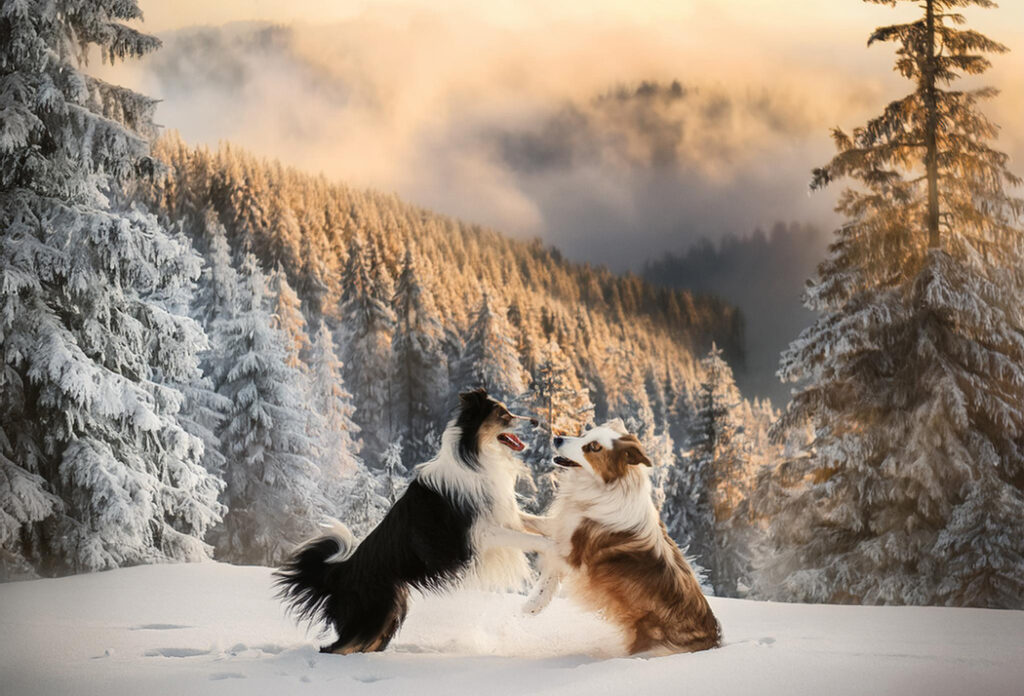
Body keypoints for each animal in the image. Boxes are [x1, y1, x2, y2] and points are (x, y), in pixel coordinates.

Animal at [272, 388, 544, 655]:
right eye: (502, 414)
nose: (536, 421)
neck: (474, 456)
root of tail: (340, 574)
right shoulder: (481, 533)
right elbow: (529, 539)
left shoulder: (504, 515)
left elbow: (537, 524)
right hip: (374, 613)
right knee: (333, 648)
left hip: (391, 612)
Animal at [524, 421, 724, 655]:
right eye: (585, 434)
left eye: (593, 447)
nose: (557, 438)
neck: (605, 487)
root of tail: (713, 640)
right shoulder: (563, 525)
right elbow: (528, 521)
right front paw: (534, 604)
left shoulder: (575, 554)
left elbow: (547, 558)